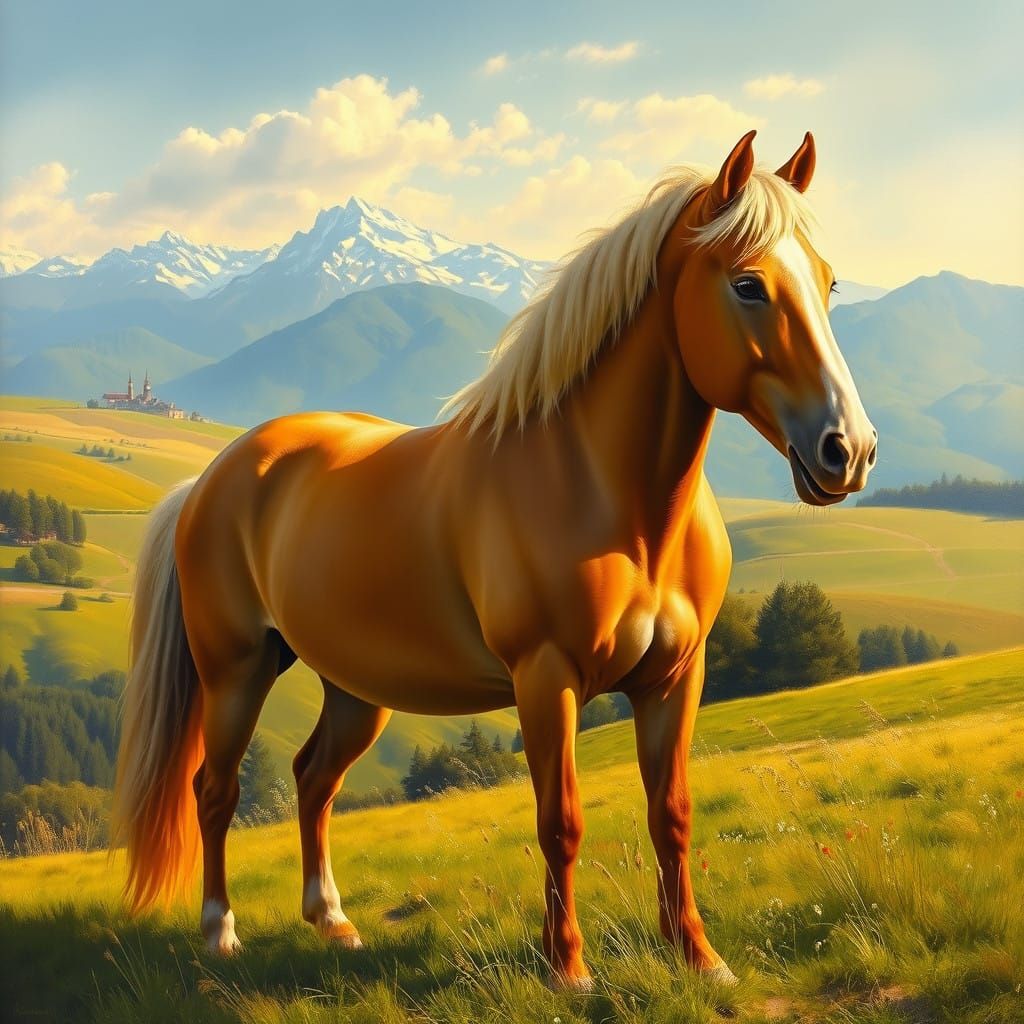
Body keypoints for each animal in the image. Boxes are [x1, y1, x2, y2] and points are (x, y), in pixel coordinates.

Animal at [112, 130, 877, 990]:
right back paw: (219, 932)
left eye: (828, 282)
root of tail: (212, 478)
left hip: (353, 688)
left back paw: (333, 922)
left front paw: (699, 958)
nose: (848, 451)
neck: (606, 496)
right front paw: (567, 967)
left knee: (313, 781)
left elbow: (671, 814)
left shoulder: (675, 679)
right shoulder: (546, 679)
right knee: (216, 790)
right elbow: (560, 822)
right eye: (749, 284)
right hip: (236, 672)